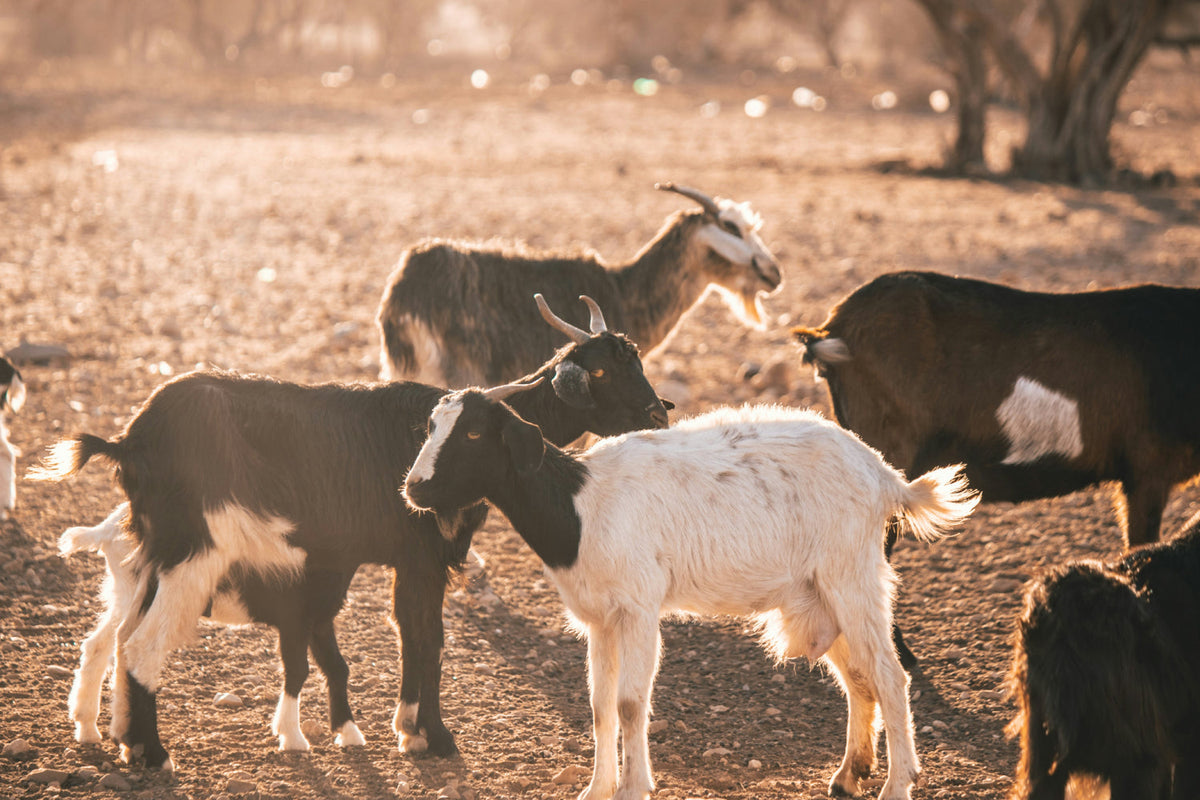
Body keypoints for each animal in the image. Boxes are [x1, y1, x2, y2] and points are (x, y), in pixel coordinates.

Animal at [33, 295, 670, 771]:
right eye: (601, 370)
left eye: (634, 359)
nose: (658, 412)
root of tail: (130, 439)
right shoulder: (422, 554)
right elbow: (427, 637)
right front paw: (435, 737)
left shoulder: (406, 560)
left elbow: (408, 632)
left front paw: (408, 728)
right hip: (194, 551)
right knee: (142, 643)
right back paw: (153, 754)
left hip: (152, 550)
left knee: (120, 635)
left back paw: (121, 737)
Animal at [403, 387, 980, 800]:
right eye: (431, 426)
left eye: (473, 433)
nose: (414, 487)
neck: (580, 504)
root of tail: (885, 475)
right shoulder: (600, 619)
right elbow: (599, 705)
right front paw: (597, 788)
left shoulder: (638, 608)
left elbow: (630, 703)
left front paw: (635, 788)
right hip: (819, 595)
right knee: (860, 680)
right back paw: (848, 776)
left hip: (853, 578)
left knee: (890, 676)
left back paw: (897, 784)